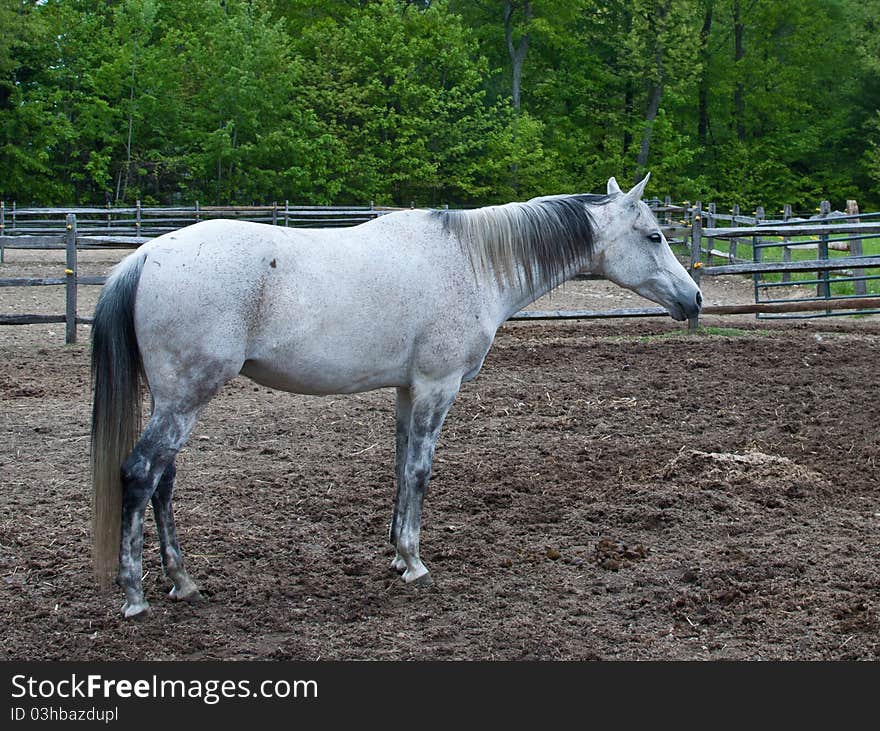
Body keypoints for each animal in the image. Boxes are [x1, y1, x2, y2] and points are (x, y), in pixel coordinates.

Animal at [91, 176, 700, 616]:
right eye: (654, 236)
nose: (693, 298)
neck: (472, 262)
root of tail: (144, 256)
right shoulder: (436, 387)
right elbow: (420, 470)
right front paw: (414, 560)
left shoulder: (409, 390)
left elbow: (401, 462)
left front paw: (394, 555)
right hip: (187, 398)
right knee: (141, 473)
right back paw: (136, 594)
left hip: (176, 401)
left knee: (163, 479)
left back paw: (181, 581)